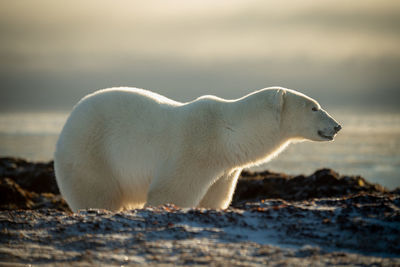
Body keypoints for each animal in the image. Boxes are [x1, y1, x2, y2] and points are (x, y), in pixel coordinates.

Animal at [54, 87, 340, 213]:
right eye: (314, 107)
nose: (337, 126)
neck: (226, 135)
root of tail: (69, 120)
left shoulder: (224, 170)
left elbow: (215, 198)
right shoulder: (194, 151)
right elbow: (172, 191)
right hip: (92, 152)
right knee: (97, 193)